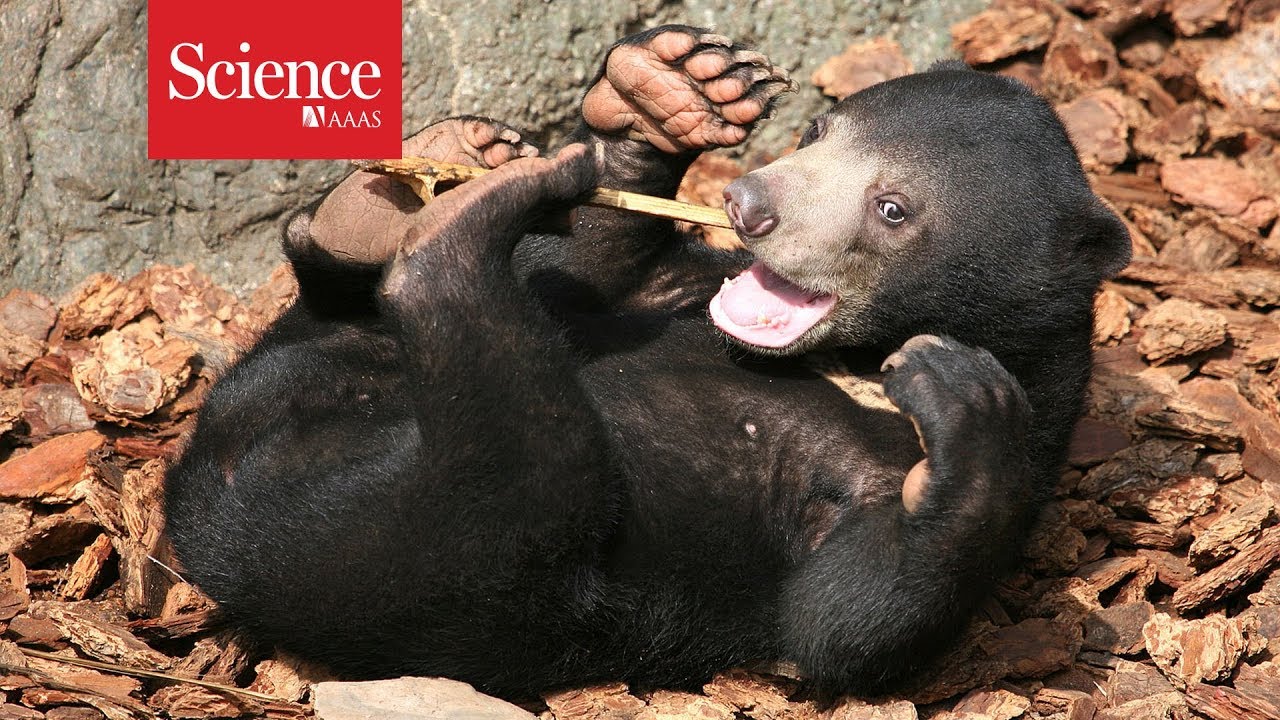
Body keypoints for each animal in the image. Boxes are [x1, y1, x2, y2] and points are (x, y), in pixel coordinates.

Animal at [163, 25, 1131, 699]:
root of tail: (209, 500)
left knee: (514, 466)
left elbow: (847, 619)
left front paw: (963, 394)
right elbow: (589, 271)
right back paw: (414, 185)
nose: (746, 203)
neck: (835, 362)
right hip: (327, 381)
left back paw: (456, 221)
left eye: (893, 209)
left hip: (424, 563)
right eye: (818, 129)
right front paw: (672, 90)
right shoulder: (675, 292)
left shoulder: (890, 476)